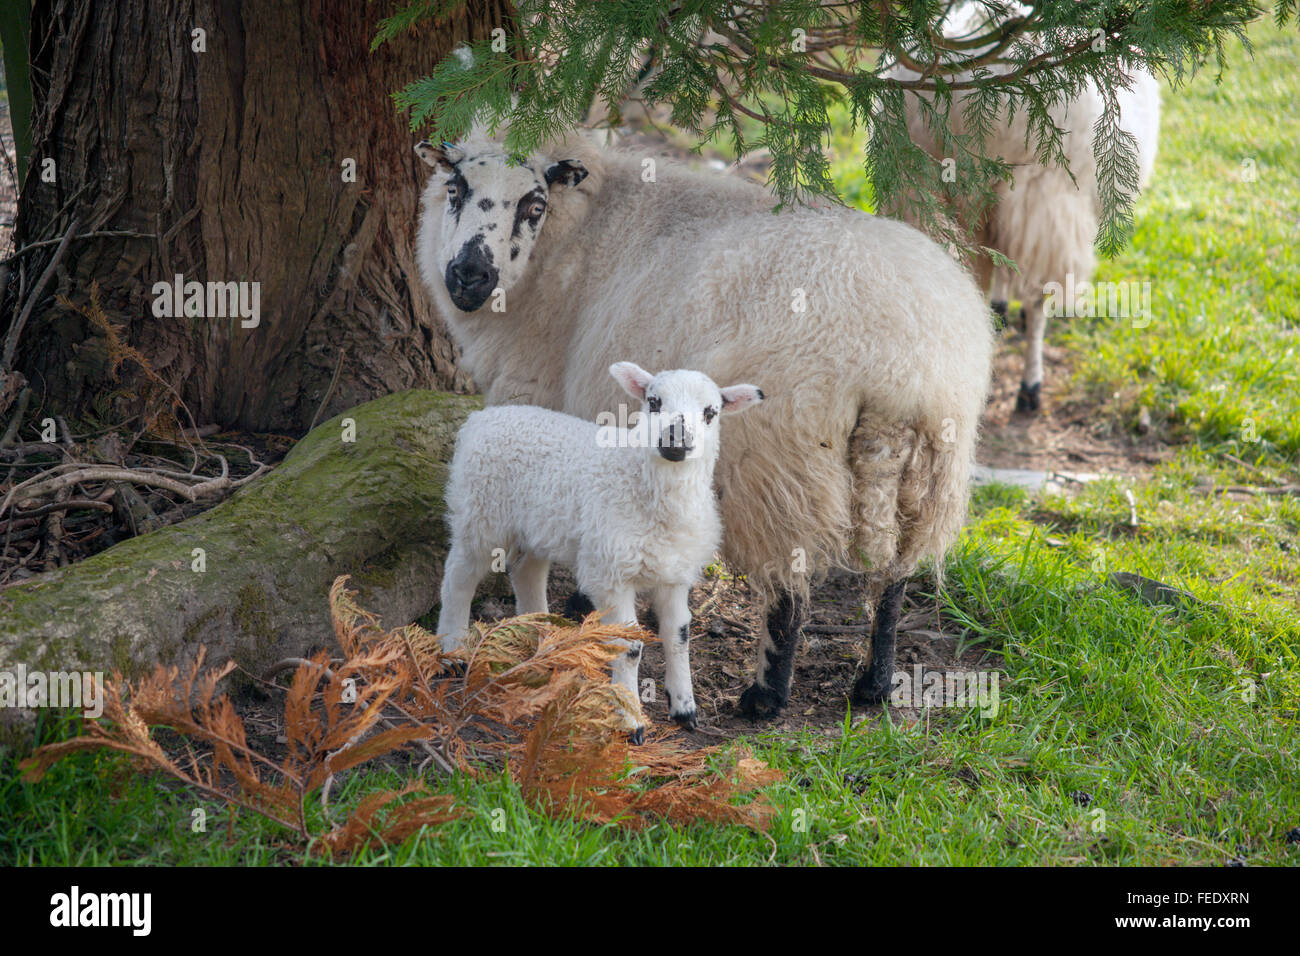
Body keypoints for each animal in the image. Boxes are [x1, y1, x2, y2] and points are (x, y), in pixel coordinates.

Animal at [436, 361, 759, 738]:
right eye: (653, 402)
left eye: (711, 412)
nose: (675, 440)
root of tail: (482, 417)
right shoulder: (611, 574)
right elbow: (628, 646)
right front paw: (631, 720)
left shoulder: (675, 574)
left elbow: (679, 636)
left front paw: (684, 708)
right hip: (480, 512)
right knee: (458, 579)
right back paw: (453, 651)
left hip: (535, 525)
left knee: (527, 573)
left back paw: (545, 643)